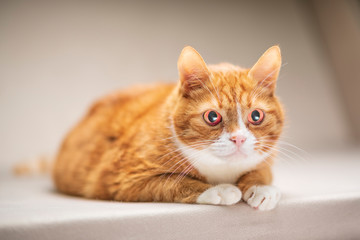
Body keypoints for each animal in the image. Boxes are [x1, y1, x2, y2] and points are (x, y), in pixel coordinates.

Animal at [52, 45, 284, 210]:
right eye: (212, 117)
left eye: (256, 116)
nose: (239, 139)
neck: (222, 170)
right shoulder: (125, 180)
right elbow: (174, 182)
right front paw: (219, 190)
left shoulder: (265, 157)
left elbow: (260, 171)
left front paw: (261, 188)